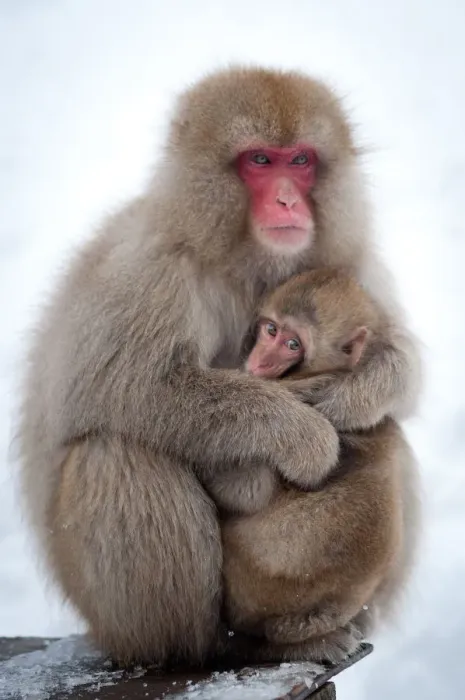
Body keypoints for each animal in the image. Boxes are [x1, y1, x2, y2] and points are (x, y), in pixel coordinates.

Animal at [202, 268, 420, 664]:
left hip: (244, 601)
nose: (260, 361)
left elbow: (246, 492)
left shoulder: (298, 397)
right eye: (271, 330)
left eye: (293, 345)